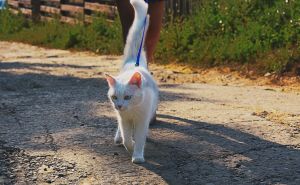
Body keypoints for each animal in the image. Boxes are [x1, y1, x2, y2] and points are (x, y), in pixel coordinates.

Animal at [104, 0, 158, 163]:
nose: (120, 105)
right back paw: (117, 137)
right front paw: (130, 146)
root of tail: (134, 62)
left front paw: (138, 155)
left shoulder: (142, 121)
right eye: (114, 97)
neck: (132, 111)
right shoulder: (124, 120)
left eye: (128, 97)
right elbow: (126, 138)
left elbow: (140, 139)